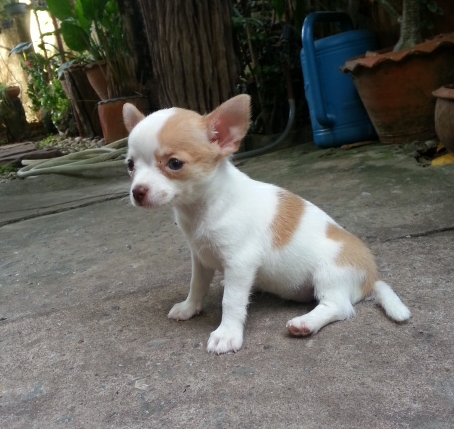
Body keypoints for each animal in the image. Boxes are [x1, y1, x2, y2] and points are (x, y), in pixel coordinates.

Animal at [123, 94, 410, 354]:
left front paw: (227, 334)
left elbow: (232, 302)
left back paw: (305, 323)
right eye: (130, 165)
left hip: (329, 275)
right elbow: (197, 285)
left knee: (338, 306)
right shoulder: (201, 258)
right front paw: (189, 307)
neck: (200, 209)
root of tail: (371, 276)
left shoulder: (240, 261)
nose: (137, 191)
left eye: (174, 164)